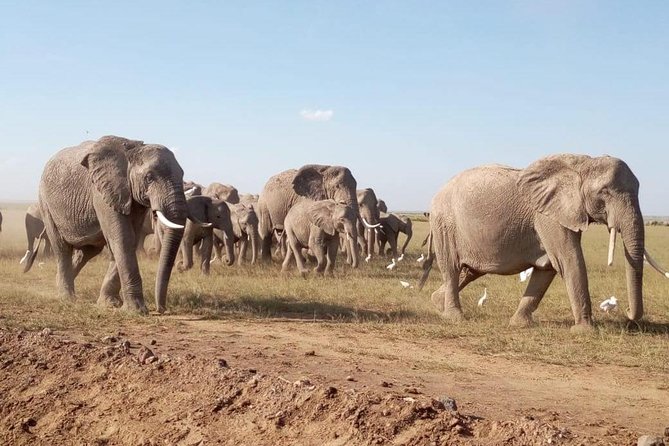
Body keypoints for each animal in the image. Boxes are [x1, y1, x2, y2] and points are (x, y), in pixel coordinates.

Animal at [28, 135, 187, 314]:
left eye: (182, 175)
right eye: (149, 177)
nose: (161, 310)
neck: (132, 150)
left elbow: (130, 240)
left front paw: (110, 304)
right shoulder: (102, 192)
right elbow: (123, 239)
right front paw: (137, 311)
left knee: (87, 252)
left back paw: (59, 284)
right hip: (46, 204)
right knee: (62, 249)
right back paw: (67, 298)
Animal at [419, 154, 669, 331]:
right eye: (605, 192)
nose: (627, 312)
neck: (583, 163)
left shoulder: (562, 214)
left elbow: (548, 267)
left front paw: (520, 324)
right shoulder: (549, 216)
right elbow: (568, 260)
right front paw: (584, 331)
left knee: (471, 271)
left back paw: (436, 303)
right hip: (444, 224)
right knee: (452, 268)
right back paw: (454, 317)